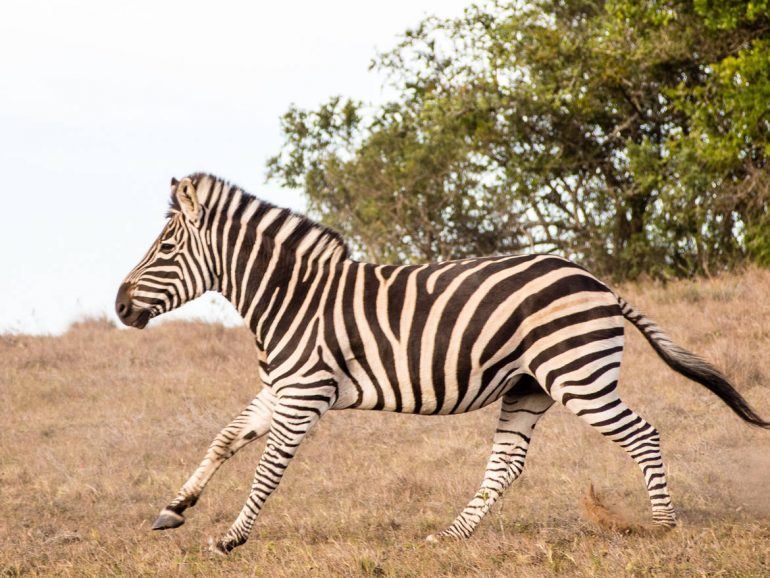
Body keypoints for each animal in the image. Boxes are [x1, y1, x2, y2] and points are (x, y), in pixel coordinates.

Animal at [115, 173, 768, 552]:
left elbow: (269, 467)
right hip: (528, 386)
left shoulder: (303, 393)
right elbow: (225, 438)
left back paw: (664, 526)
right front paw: (174, 509)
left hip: (577, 376)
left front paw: (231, 537)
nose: (119, 306)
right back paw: (450, 536)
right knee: (506, 465)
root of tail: (599, 283)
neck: (292, 295)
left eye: (166, 248)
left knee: (643, 433)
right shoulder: (280, 386)